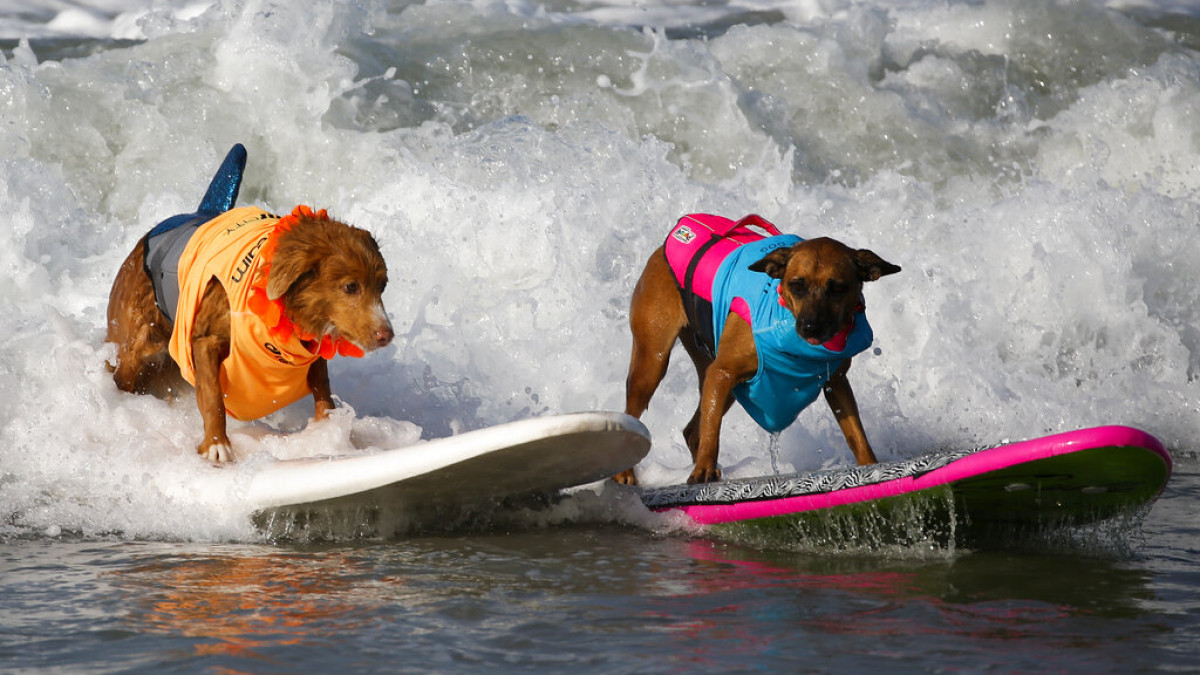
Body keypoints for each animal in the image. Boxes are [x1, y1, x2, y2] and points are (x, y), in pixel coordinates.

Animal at [105, 201, 391, 458]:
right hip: (137, 339)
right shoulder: (205, 339)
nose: (386, 335)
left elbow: (323, 389)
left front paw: (329, 432)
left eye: (383, 285)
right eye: (350, 286)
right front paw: (216, 445)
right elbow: (213, 397)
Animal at [619, 214, 902, 482]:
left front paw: (870, 465)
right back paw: (626, 473)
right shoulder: (722, 372)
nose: (810, 327)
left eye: (837, 288)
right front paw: (704, 469)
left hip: (717, 376)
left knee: (693, 429)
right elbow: (712, 433)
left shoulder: (837, 381)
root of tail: (664, 246)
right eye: (796, 285)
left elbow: (856, 433)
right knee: (640, 409)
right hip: (652, 362)